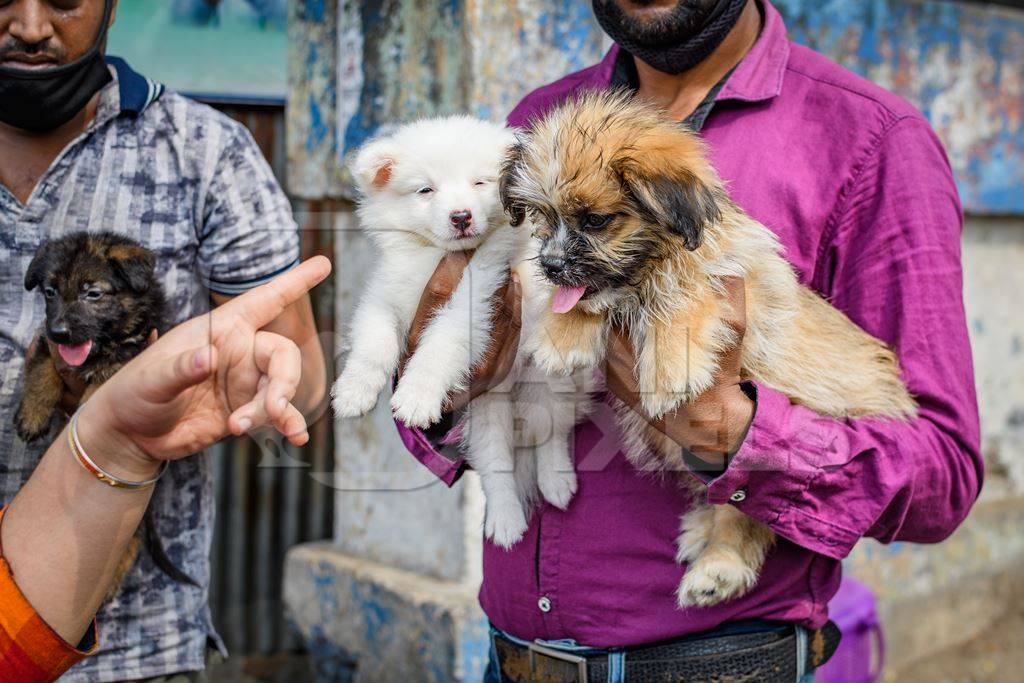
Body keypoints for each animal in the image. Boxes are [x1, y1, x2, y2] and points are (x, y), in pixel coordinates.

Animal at [333, 116, 593, 544]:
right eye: (426, 189)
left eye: (480, 183)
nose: (461, 216)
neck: (438, 256)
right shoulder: (386, 297)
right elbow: (374, 341)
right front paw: (354, 391)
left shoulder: (474, 304)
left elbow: (437, 347)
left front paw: (417, 396)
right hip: (486, 413)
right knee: (496, 467)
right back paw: (505, 519)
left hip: (548, 388)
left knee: (551, 435)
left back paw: (557, 481)